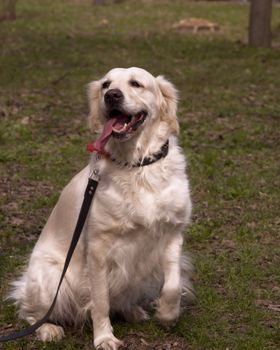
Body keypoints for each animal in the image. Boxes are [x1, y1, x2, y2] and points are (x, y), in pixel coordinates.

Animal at [10, 67, 192, 348]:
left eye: (136, 84)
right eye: (106, 84)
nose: (112, 95)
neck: (136, 166)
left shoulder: (173, 233)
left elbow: (172, 285)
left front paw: (166, 314)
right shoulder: (98, 249)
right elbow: (101, 302)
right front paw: (105, 337)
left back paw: (134, 311)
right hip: (50, 277)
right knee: (30, 311)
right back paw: (47, 329)